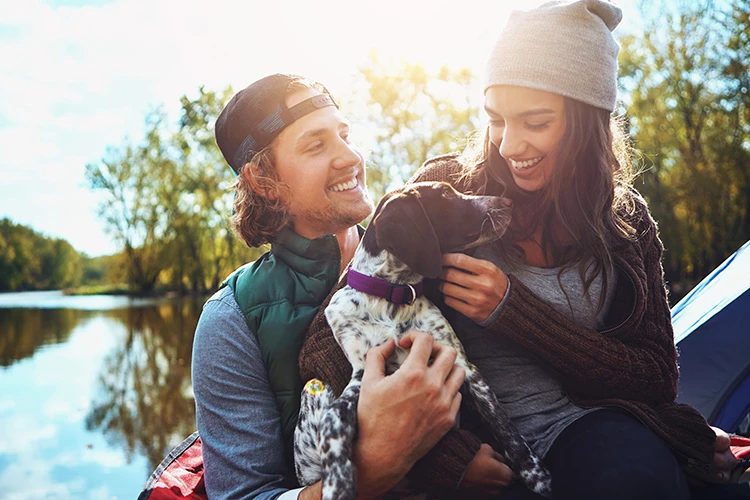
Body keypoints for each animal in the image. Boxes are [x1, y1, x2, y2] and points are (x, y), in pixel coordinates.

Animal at [296, 183, 556, 500]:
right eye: (446, 195)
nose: (507, 202)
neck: (392, 296)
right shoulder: (362, 378)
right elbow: (332, 421)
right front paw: (338, 484)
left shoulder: (463, 366)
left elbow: (505, 427)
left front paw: (538, 477)